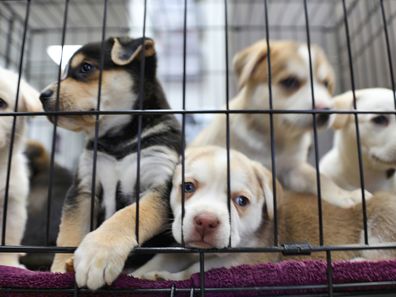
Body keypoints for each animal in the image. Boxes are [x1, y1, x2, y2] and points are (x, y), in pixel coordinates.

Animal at [38, 35, 181, 288]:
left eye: (86, 68)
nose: (42, 95)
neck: (119, 139)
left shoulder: (160, 182)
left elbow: (127, 215)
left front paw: (98, 252)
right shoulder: (83, 188)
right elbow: (70, 232)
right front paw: (58, 269)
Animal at [132, 146, 396, 280]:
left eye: (241, 201)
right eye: (187, 187)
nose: (205, 221)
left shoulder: (244, 259)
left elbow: (196, 272)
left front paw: (167, 277)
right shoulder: (185, 248)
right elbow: (162, 258)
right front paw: (138, 274)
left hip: (381, 221)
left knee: (383, 256)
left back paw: (353, 260)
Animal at [190, 39, 370, 207]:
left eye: (325, 84)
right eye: (290, 82)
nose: (326, 112)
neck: (275, 138)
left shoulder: (294, 169)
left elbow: (319, 178)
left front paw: (345, 195)